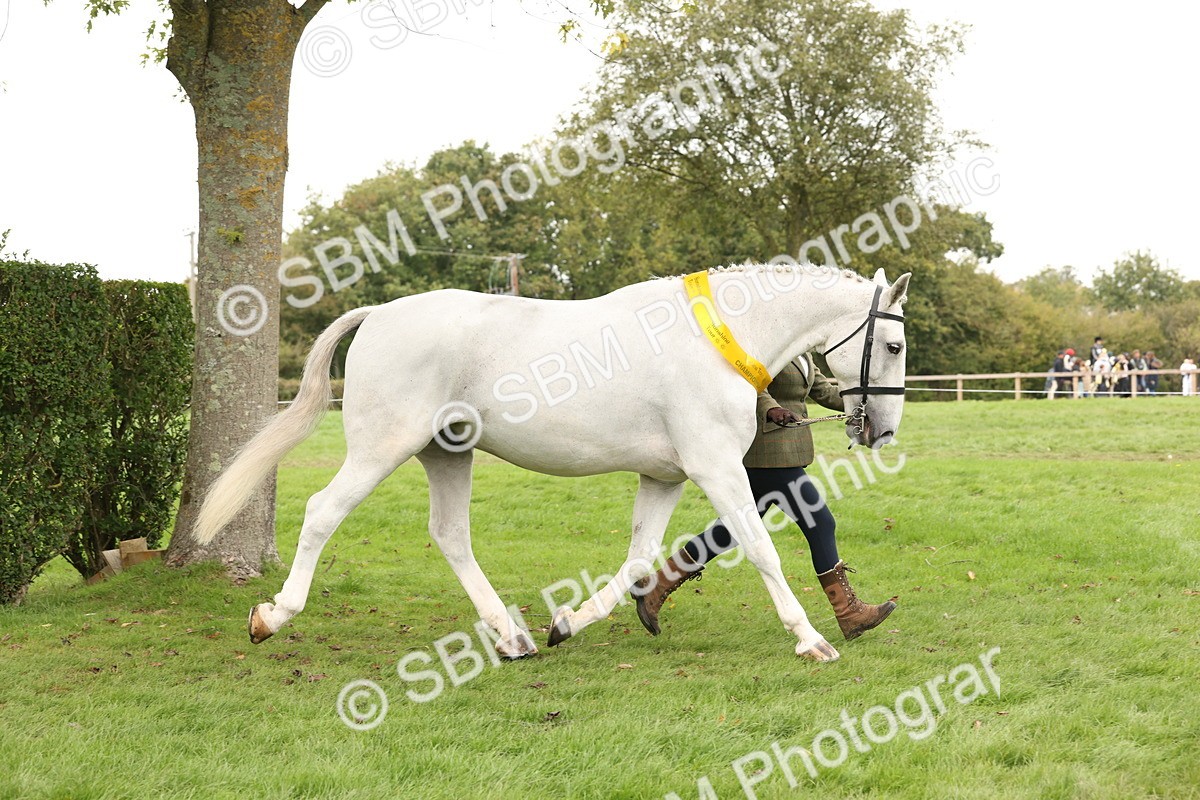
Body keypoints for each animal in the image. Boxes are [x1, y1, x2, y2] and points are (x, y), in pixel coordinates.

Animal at [193, 264, 910, 662]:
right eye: (895, 344)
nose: (882, 429)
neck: (717, 340)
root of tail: (380, 315)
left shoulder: (667, 476)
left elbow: (638, 561)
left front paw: (569, 622)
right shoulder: (715, 468)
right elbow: (761, 548)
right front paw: (812, 639)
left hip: (446, 453)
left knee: (450, 535)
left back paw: (513, 638)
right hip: (382, 448)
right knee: (322, 512)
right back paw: (271, 617)